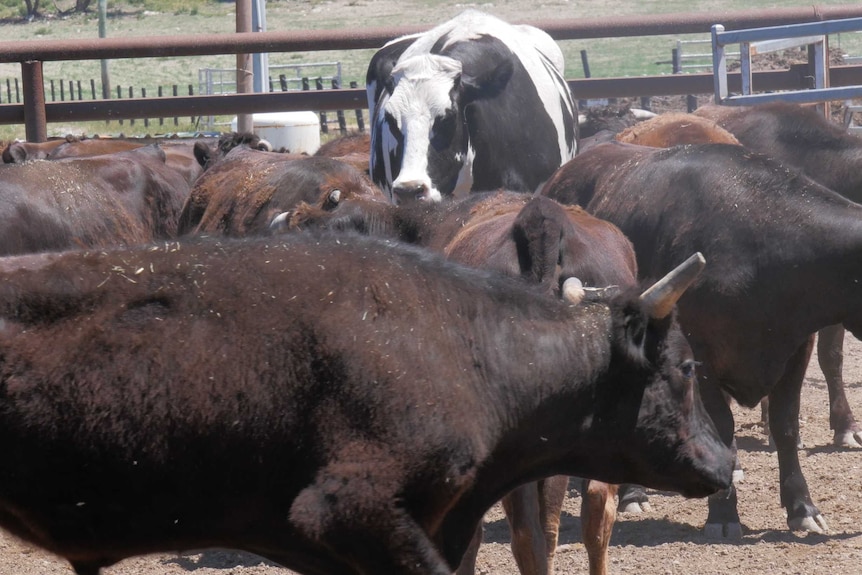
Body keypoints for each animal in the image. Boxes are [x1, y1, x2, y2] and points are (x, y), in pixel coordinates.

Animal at [544, 141, 862, 540]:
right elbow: (723, 428)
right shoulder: (702, 356)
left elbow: (786, 426)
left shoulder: (796, 350)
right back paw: (632, 493)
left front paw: (802, 508)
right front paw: (723, 515)